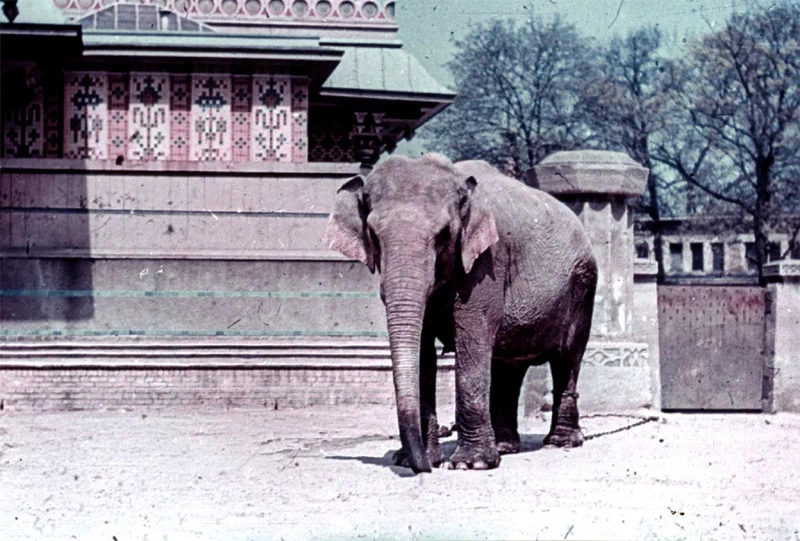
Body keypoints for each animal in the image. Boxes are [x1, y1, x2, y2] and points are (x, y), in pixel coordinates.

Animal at [324, 153, 592, 472]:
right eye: (374, 236)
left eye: (444, 235)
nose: (423, 470)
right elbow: (423, 350)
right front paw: (418, 459)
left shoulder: (487, 261)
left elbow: (473, 335)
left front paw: (470, 464)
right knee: (508, 365)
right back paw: (505, 447)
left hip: (582, 285)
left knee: (567, 358)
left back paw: (560, 443)